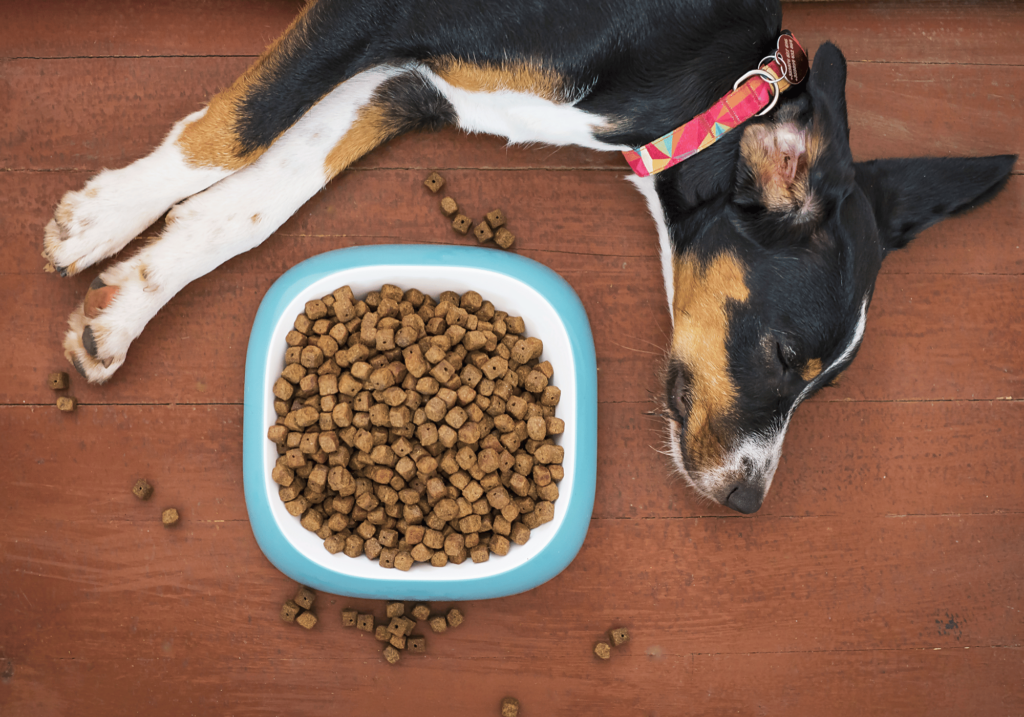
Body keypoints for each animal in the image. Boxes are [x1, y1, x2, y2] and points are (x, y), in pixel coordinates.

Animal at [44, 1, 1011, 516]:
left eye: (827, 386)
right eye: (781, 355)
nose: (746, 500)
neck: (708, 81)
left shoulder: (412, 82)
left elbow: (256, 198)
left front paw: (127, 301)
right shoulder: (373, 17)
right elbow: (237, 128)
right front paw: (100, 218)